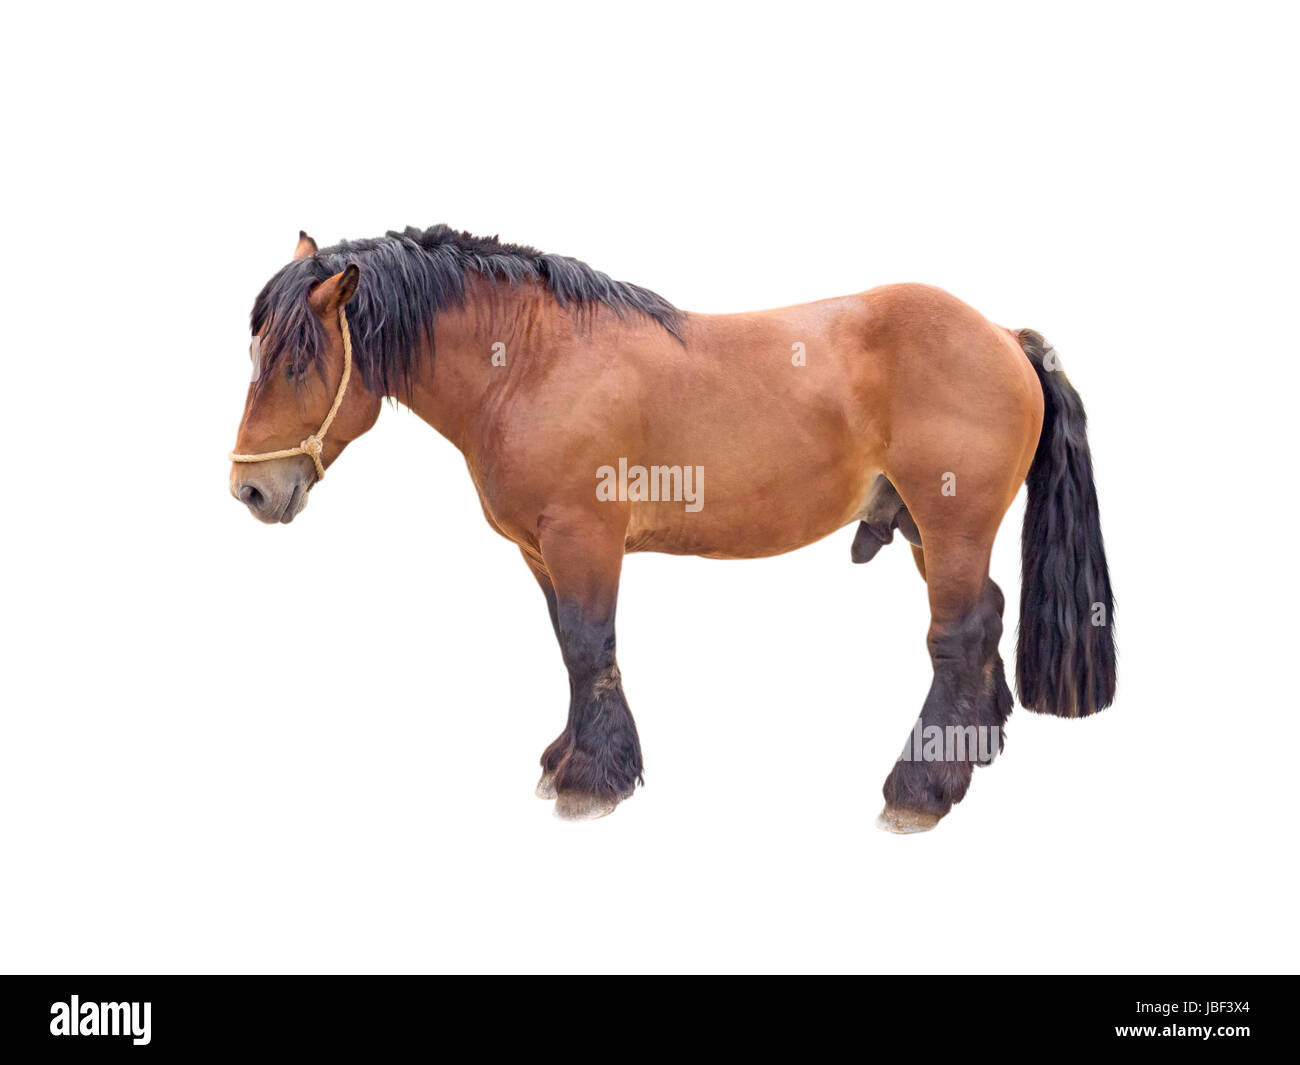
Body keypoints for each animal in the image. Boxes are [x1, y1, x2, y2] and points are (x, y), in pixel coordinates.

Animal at [229, 225, 1116, 832]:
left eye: (299, 359)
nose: (251, 488)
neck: (532, 363)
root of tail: (1004, 336)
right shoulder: (542, 553)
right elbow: (571, 650)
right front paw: (569, 758)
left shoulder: (582, 538)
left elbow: (590, 647)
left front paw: (592, 778)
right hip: (930, 532)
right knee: (986, 618)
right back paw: (975, 745)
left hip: (951, 520)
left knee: (955, 636)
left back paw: (921, 787)